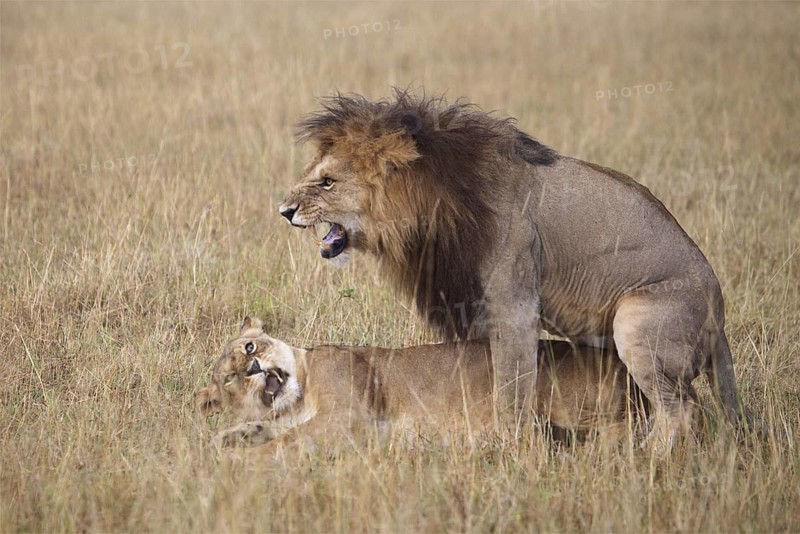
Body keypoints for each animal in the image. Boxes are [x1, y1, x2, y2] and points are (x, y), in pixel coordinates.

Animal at [195, 317, 648, 449]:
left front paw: (252, 460)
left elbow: (289, 441)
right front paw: (229, 438)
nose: (254, 368)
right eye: (231, 380)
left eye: (251, 345)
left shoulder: (351, 418)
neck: (301, 396)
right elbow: (265, 426)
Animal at [278, 90, 751, 451]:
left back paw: (642, 460)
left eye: (327, 182)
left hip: (638, 323)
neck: (434, 203)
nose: (283, 211)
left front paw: (510, 445)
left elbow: (512, 382)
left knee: (681, 409)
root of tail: (720, 309)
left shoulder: (515, 303)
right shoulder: (469, 305)